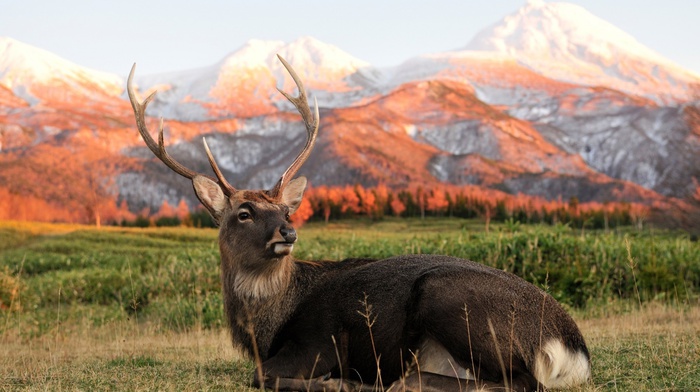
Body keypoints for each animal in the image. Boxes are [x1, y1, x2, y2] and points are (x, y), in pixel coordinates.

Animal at [127, 56, 592, 392]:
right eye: (244, 213)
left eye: (286, 212)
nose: (288, 233)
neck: (265, 329)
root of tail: (572, 347)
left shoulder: (319, 342)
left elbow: (262, 376)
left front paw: (339, 381)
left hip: (448, 297)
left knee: (523, 382)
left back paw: (393, 381)